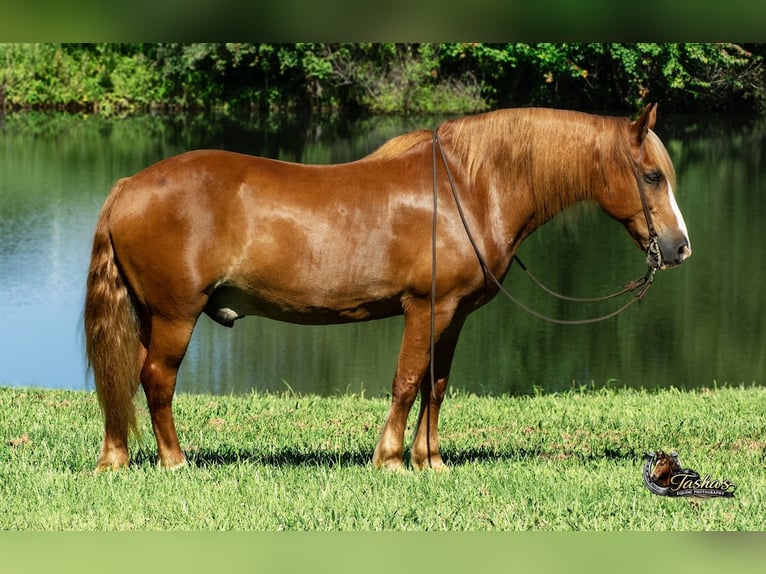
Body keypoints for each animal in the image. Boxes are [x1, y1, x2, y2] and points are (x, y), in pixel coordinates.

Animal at [84, 103, 691, 472]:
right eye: (652, 175)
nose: (680, 247)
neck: (470, 189)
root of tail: (128, 187)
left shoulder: (455, 314)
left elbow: (435, 386)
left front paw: (432, 460)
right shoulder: (426, 308)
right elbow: (405, 380)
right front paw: (393, 458)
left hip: (149, 315)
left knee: (124, 379)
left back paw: (116, 458)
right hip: (175, 315)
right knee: (156, 380)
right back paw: (174, 460)